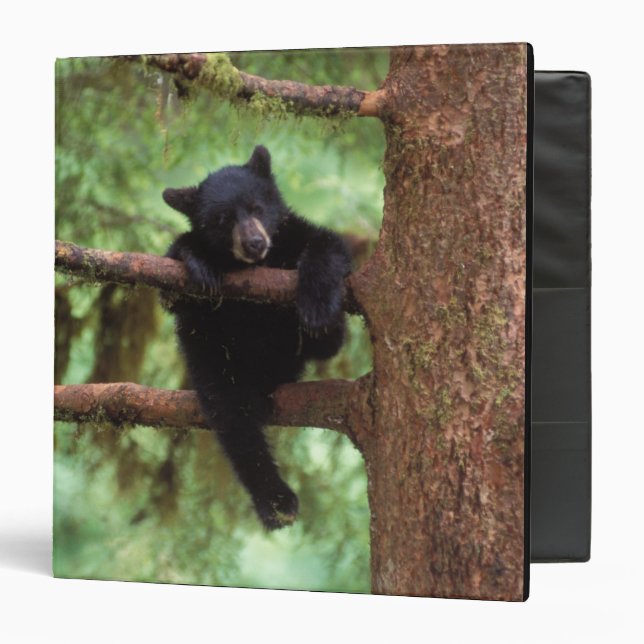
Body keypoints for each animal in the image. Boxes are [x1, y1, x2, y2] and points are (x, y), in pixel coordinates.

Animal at [162, 145, 351, 530]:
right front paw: (199, 260)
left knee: (328, 345)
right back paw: (277, 500)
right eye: (221, 220)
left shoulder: (295, 234)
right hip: (213, 364)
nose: (254, 243)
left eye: (256, 207)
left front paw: (317, 307)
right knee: (235, 424)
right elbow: (171, 286)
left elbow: (327, 243)